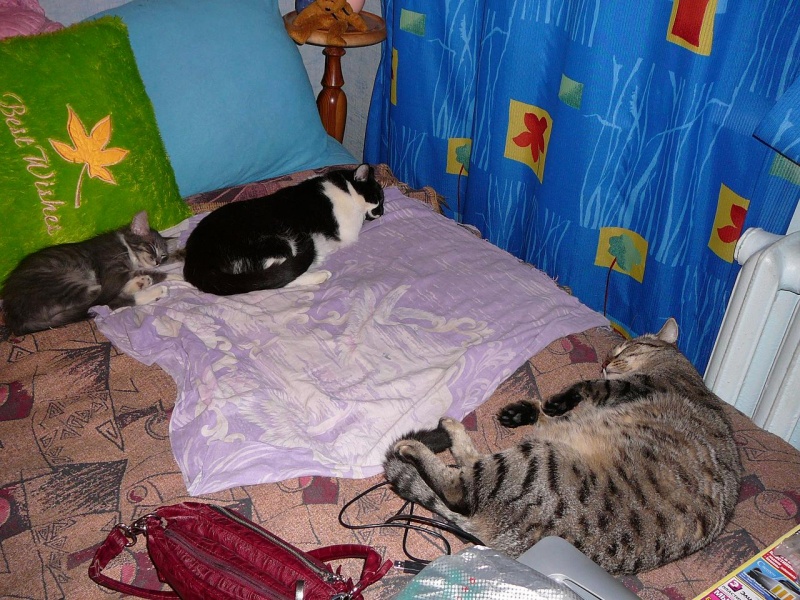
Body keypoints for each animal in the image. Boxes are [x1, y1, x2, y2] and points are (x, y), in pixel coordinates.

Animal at [1, 211, 174, 335]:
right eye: (151, 247)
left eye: (163, 256)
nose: (158, 262)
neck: (126, 246)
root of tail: (15, 319)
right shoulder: (112, 271)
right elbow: (143, 273)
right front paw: (175, 276)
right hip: (63, 283)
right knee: (103, 300)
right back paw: (148, 286)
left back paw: (141, 284)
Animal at [182, 163, 384, 295]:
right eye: (379, 198)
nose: (382, 212)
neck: (343, 187)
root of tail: (196, 258)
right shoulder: (347, 228)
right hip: (276, 242)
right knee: (272, 280)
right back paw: (318, 274)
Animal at [383, 318, 742, 575]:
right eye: (612, 351)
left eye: (623, 350)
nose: (605, 360)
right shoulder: (572, 419)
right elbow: (552, 412)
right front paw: (524, 411)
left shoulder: (640, 385)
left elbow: (587, 386)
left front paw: (558, 399)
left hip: (535, 460)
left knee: (459, 489)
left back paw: (419, 444)